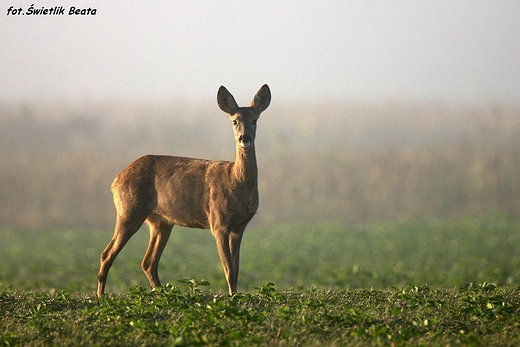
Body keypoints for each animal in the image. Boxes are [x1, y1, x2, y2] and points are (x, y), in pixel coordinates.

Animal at [97, 83, 272, 296]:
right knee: (107, 254)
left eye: (254, 120)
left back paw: (162, 294)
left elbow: (236, 269)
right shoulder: (218, 222)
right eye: (234, 121)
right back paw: (101, 296)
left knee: (148, 262)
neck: (235, 182)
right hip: (128, 211)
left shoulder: (240, 226)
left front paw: (235, 295)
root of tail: (115, 180)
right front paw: (232, 297)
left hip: (160, 221)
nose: (244, 138)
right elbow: (228, 269)